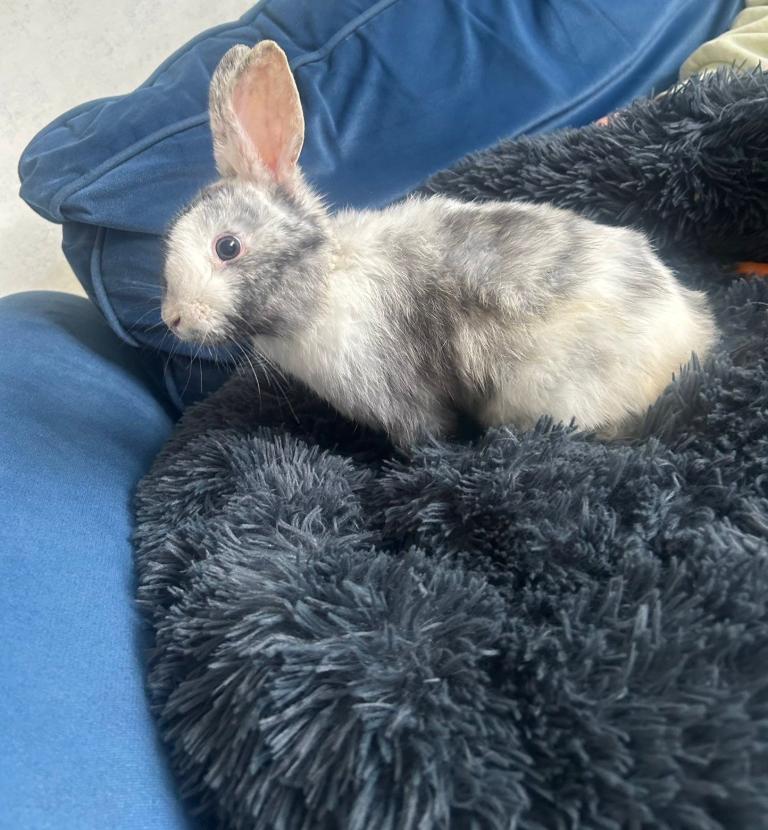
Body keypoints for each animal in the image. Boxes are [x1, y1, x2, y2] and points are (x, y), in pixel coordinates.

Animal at [161, 40, 717, 447]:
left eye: (227, 247)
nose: (173, 319)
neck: (323, 283)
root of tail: (695, 342)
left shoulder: (402, 401)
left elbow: (426, 437)